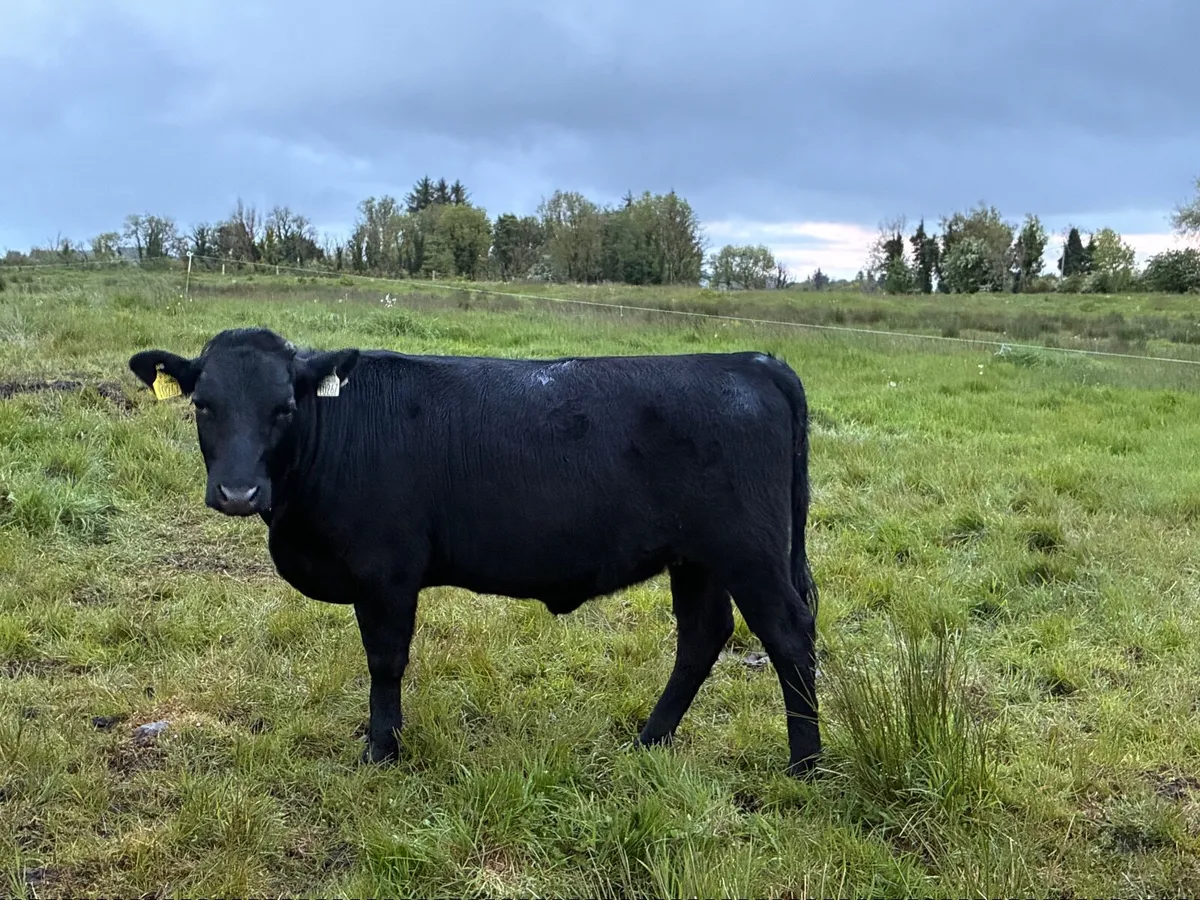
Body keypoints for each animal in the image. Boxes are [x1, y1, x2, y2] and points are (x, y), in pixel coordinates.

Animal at [127, 326, 821, 777]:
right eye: (203, 404)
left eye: (284, 407)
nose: (238, 492)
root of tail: (753, 361)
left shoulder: (386, 572)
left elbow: (385, 661)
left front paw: (380, 752)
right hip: (696, 556)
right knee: (704, 634)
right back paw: (649, 742)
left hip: (748, 551)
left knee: (788, 635)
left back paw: (806, 766)